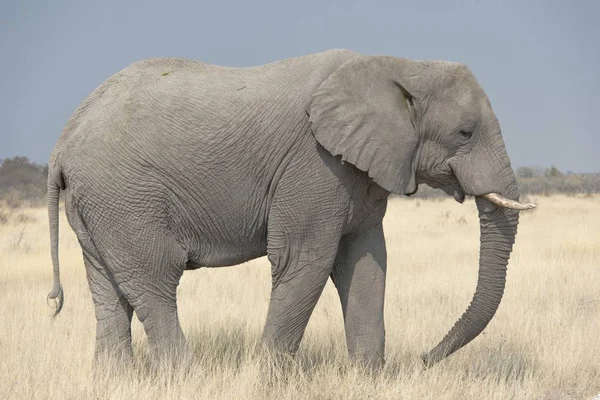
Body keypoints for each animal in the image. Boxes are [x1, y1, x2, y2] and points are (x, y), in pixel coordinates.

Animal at [45, 49, 536, 368]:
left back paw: (115, 380)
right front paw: (267, 379)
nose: (421, 359)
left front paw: (367, 378)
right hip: (125, 197)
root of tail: (62, 142)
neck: (399, 66)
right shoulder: (314, 165)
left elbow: (365, 261)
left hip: (101, 204)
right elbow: (306, 261)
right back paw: (184, 377)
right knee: (155, 280)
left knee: (109, 289)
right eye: (465, 132)